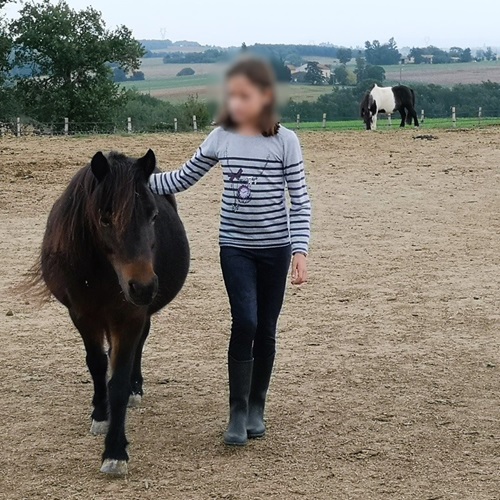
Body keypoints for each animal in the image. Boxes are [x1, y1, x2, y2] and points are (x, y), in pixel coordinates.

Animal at [34, 151, 189, 476]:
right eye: (105, 218)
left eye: (153, 216)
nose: (143, 286)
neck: (102, 273)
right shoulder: (82, 316)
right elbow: (96, 364)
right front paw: (100, 414)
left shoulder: (128, 318)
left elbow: (117, 381)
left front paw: (115, 452)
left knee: (140, 345)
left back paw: (135, 388)